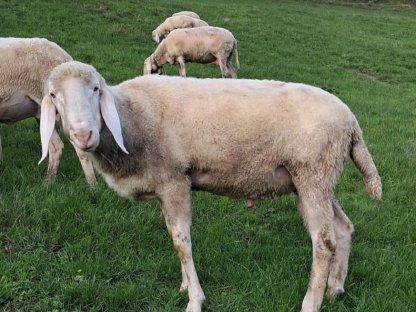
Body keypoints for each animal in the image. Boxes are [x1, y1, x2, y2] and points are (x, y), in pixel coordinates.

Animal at [0, 38, 95, 185]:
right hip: (42, 113)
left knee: (80, 149)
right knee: (56, 146)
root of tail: (66, 59)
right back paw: (48, 181)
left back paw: (92, 185)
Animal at [40, 60, 382, 312]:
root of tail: (351, 122)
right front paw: (184, 285)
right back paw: (335, 289)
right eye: (53, 95)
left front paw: (195, 300)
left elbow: (180, 240)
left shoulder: (174, 179)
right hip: (319, 180)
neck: (130, 119)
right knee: (344, 228)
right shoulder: (165, 186)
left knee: (323, 242)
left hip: (314, 173)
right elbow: (173, 235)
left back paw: (310, 303)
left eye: (96, 89)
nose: (83, 135)